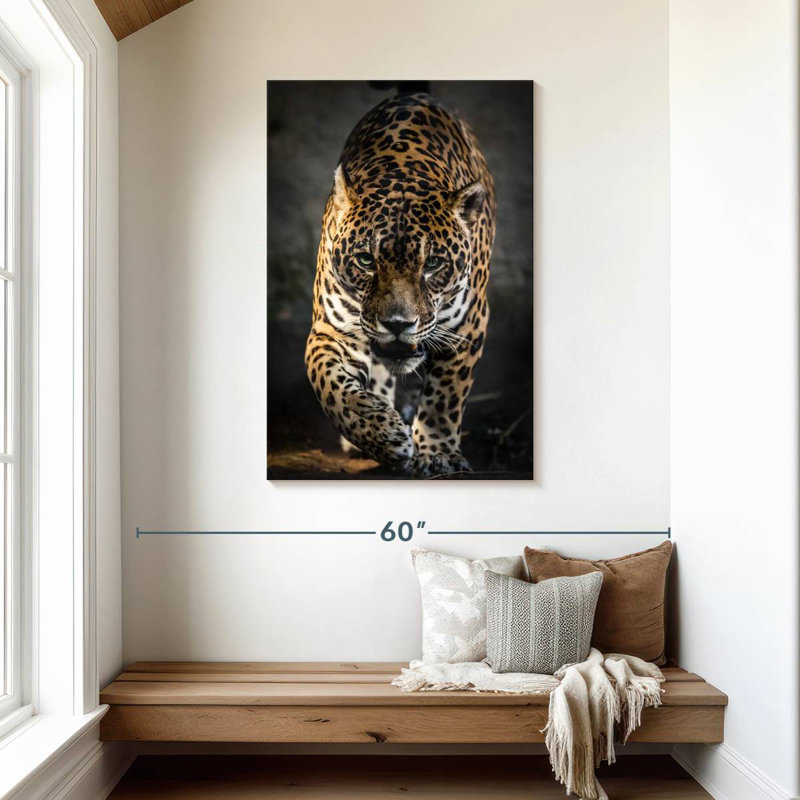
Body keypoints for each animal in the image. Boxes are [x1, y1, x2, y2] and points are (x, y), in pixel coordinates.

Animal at [305, 92, 496, 478]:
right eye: (366, 260)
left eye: (433, 264)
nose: (397, 324)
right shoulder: (331, 331)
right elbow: (330, 386)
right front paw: (382, 434)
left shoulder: (467, 327)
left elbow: (445, 396)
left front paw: (437, 453)